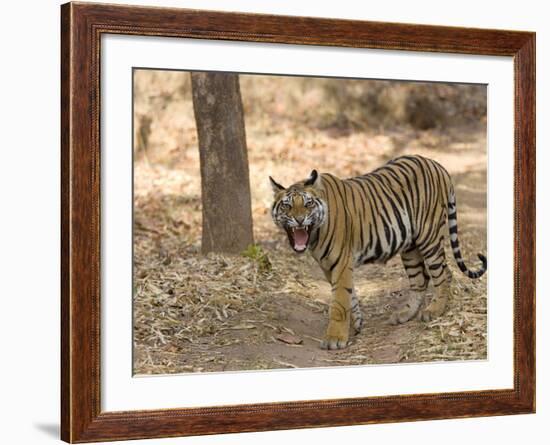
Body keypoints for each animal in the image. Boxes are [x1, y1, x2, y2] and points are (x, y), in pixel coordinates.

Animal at [270, 154, 490, 348]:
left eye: (308, 204)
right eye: (287, 206)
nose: (299, 220)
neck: (315, 234)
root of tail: (437, 165)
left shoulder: (341, 263)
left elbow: (339, 301)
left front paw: (334, 339)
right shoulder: (328, 266)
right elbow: (350, 295)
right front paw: (357, 323)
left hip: (429, 236)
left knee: (444, 273)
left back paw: (434, 311)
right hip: (410, 246)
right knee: (420, 279)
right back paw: (404, 315)